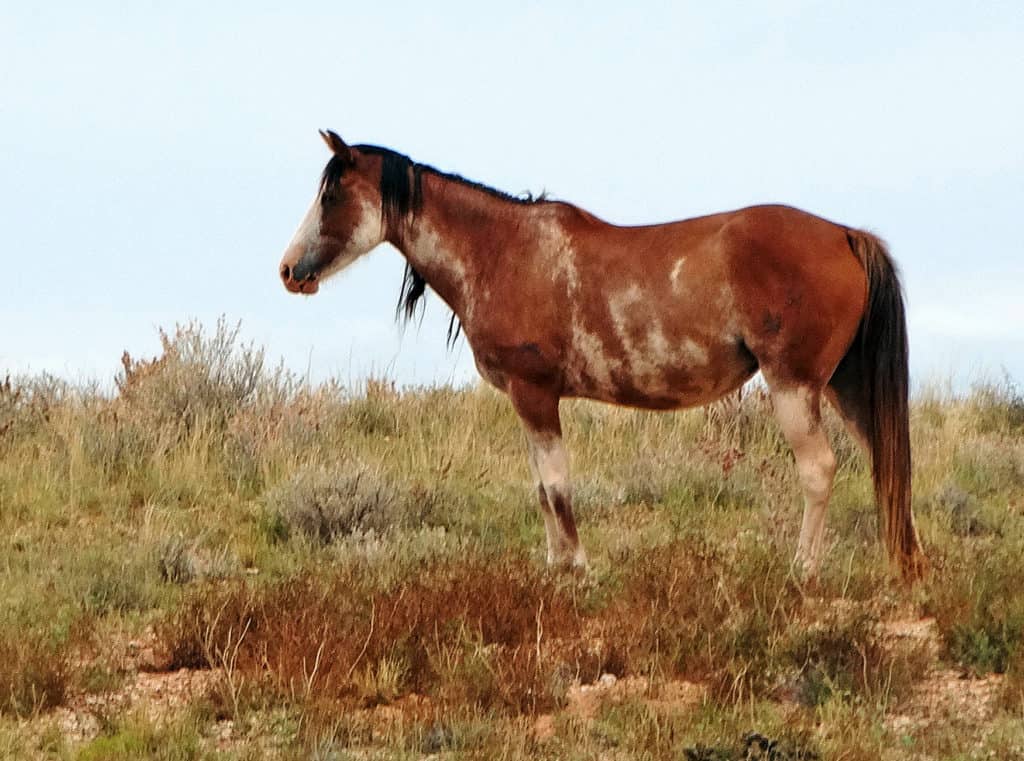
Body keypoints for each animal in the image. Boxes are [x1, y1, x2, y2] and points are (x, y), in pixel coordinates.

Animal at [279, 130, 925, 581]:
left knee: (819, 469)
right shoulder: (527, 402)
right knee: (886, 461)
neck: (503, 252)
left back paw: (803, 571)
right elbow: (542, 488)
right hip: (844, 386)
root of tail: (845, 234)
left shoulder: (535, 393)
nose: (288, 270)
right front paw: (555, 567)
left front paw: (576, 568)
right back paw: (907, 566)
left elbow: (558, 485)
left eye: (332, 193)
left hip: (794, 385)